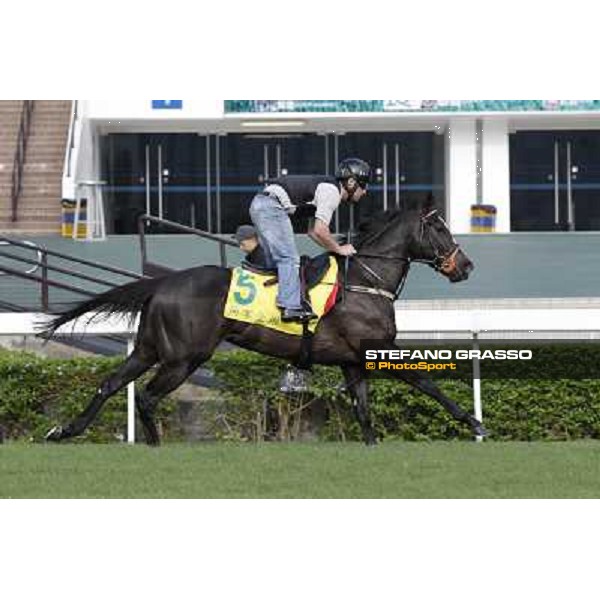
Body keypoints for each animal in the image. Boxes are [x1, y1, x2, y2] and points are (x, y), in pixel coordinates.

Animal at [42, 206, 486, 446]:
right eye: (440, 229)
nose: (466, 266)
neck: (364, 280)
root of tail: (163, 282)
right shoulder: (375, 351)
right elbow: (427, 382)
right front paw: (474, 423)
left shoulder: (352, 362)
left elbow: (363, 412)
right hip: (183, 358)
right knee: (147, 398)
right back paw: (155, 445)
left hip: (149, 348)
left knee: (110, 384)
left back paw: (65, 430)